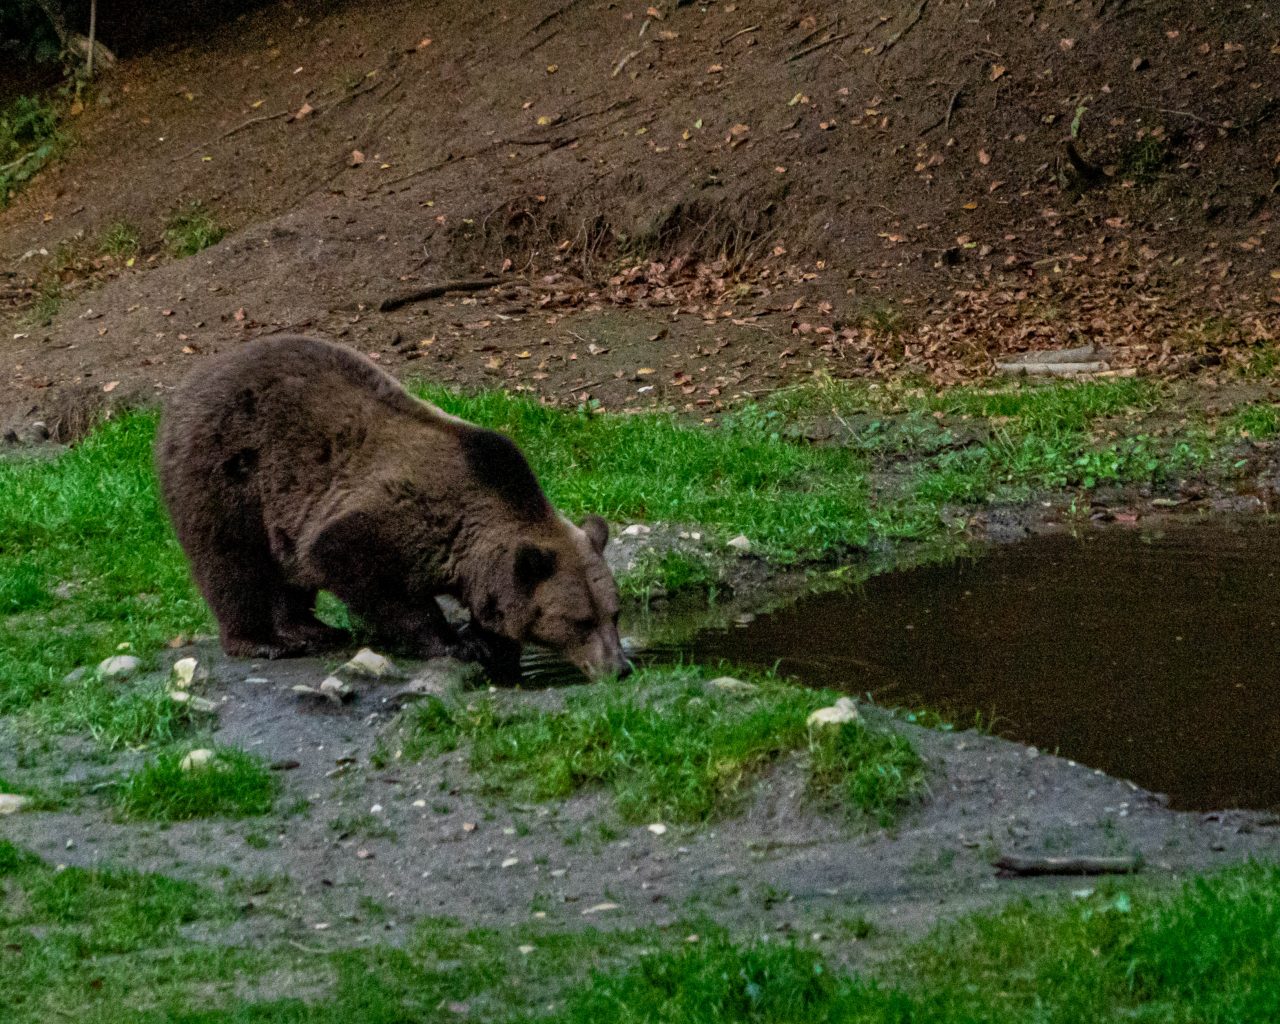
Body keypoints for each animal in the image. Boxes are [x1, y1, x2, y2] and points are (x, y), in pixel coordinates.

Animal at [153, 335, 629, 686]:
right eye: (580, 620)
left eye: (614, 612)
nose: (620, 667)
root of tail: (188, 383)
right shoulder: (388, 519)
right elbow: (365, 576)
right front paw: (457, 643)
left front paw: (495, 650)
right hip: (228, 471)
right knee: (231, 561)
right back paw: (262, 640)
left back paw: (311, 628)